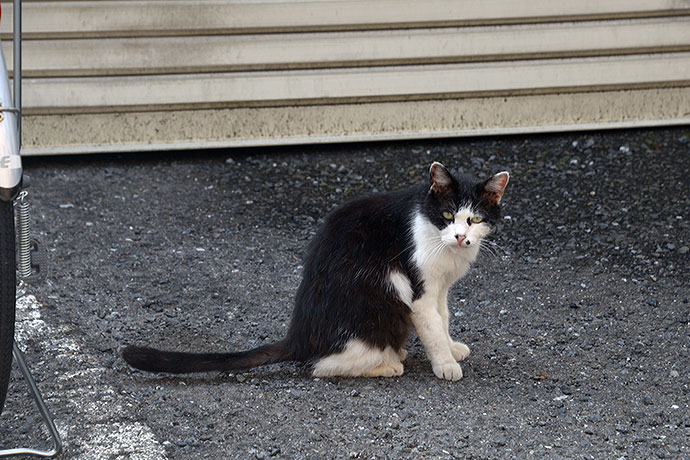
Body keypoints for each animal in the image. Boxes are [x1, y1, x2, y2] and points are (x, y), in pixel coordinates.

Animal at [122, 162, 506, 380]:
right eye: (447, 215)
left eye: (474, 220)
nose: (460, 237)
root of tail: (299, 337)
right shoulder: (419, 289)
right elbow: (432, 326)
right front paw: (445, 363)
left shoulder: (440, 287)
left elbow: (443, 318)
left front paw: (452, 347)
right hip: (381, 305)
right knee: (319, 368)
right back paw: (386, 365)